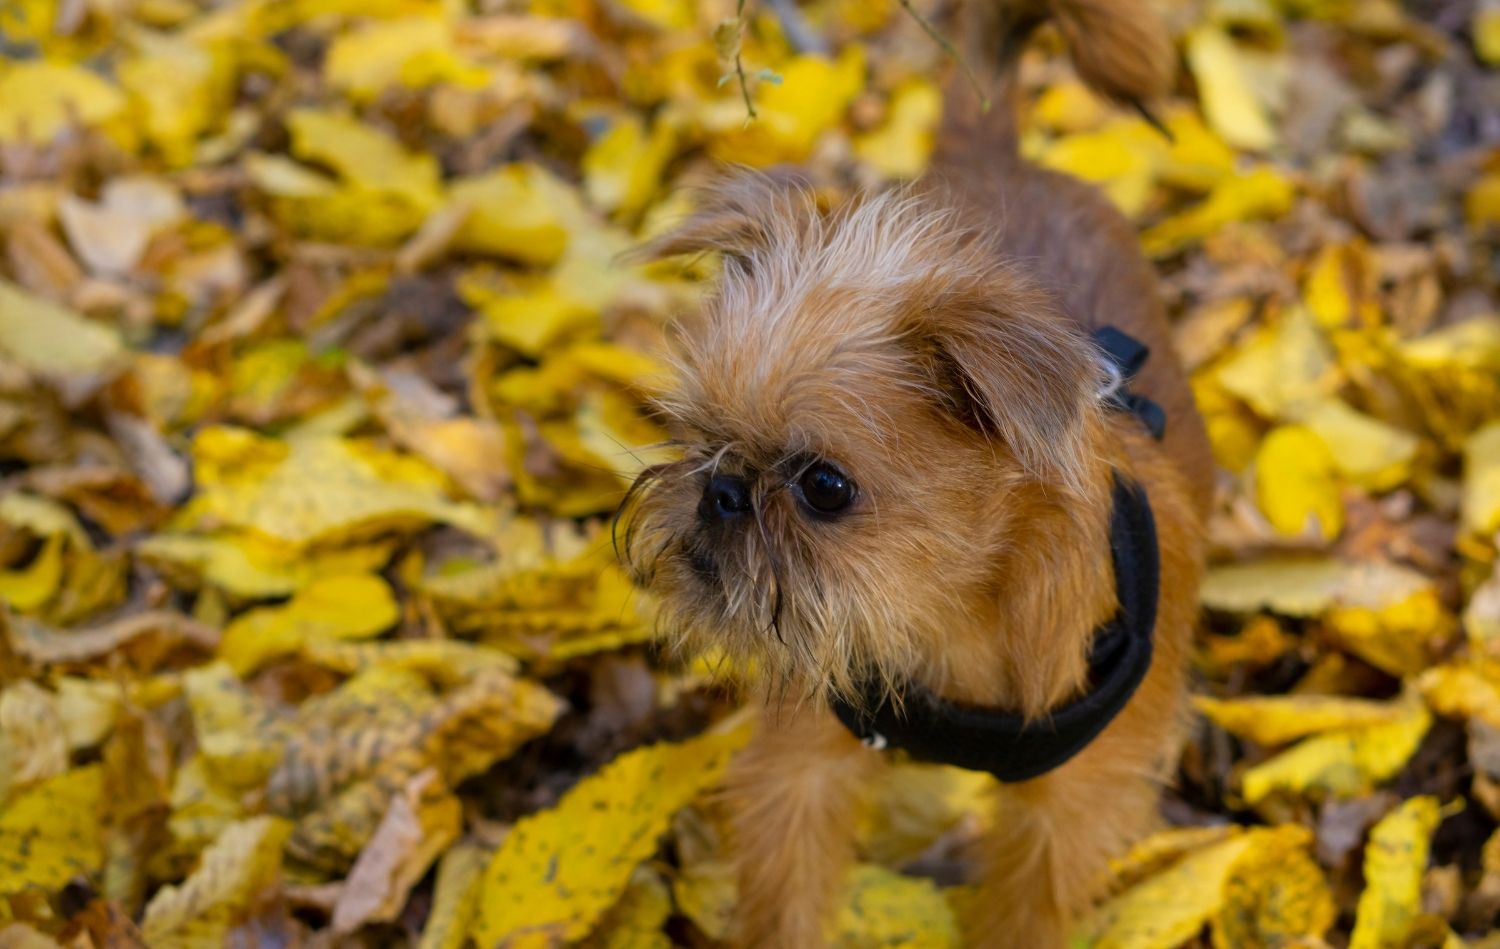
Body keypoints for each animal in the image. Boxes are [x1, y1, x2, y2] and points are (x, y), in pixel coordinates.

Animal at [621, 3, 1218, 941]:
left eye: (824, 487)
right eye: (690, 433)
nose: (720, 490)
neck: (949, 621)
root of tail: (997, 156)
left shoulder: (1069, 814)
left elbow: (1027, 915)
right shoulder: (802, 771)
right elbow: (788, 896)